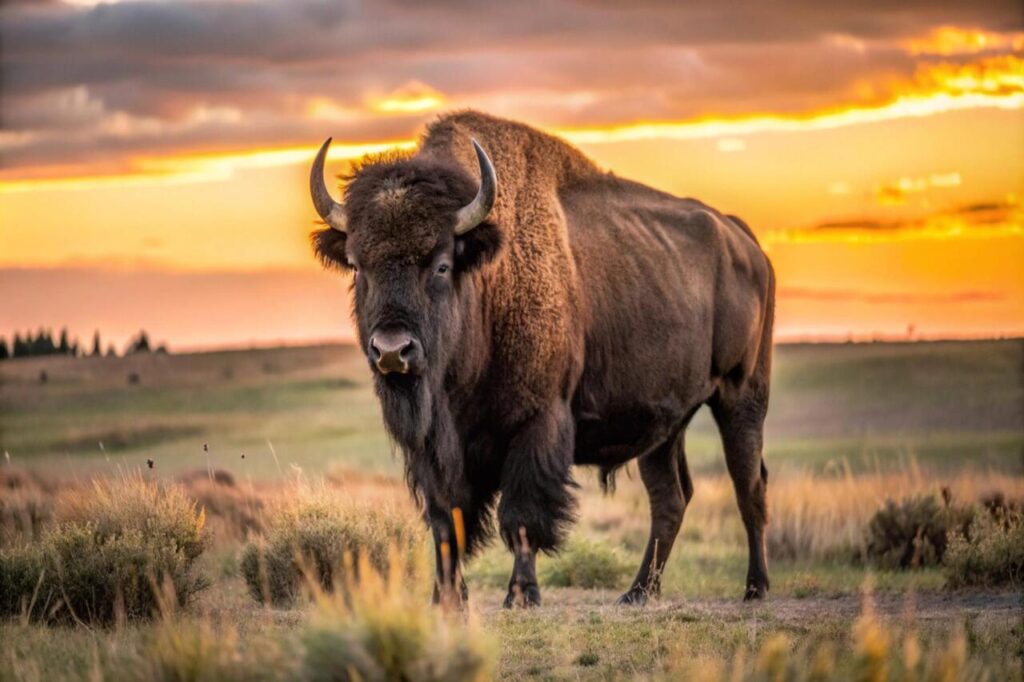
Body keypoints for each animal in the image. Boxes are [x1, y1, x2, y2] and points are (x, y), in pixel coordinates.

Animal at [310, 111, 774, 607]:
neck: (488, 284)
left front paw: (521, 594)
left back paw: (755, 587)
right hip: (665, 428)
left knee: (749, 486)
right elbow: (445, 520)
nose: (392, 350)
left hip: (741, 397)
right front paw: (446, 598)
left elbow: (521, 516)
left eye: (441, 265)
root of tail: (745, 241)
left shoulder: (537, 424)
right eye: (358, 266)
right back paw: (637, 592)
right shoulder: (433, 449)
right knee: (671, 497)